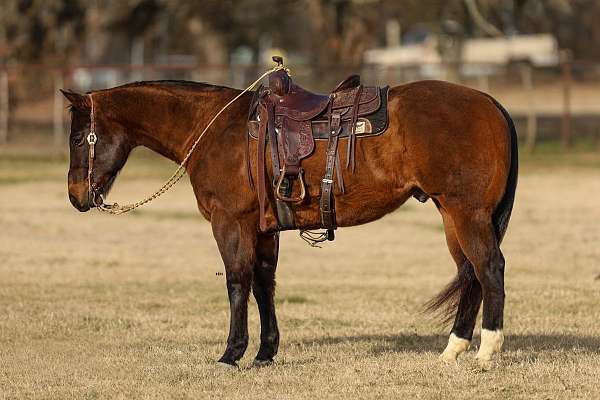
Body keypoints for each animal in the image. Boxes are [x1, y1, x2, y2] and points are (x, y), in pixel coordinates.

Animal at [63, 76, 516, 370]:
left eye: (77, 138)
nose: (76, 196)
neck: (216, 130)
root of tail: (490, 103)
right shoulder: (263, 230)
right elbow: (264, 285)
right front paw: (265, 353)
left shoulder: (231, 223)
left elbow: (237, 282)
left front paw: (231, 353)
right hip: (451, 215)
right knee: (470, 274)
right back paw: (453, 350)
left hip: (467, 213)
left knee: (489, 268)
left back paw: (486, 351)